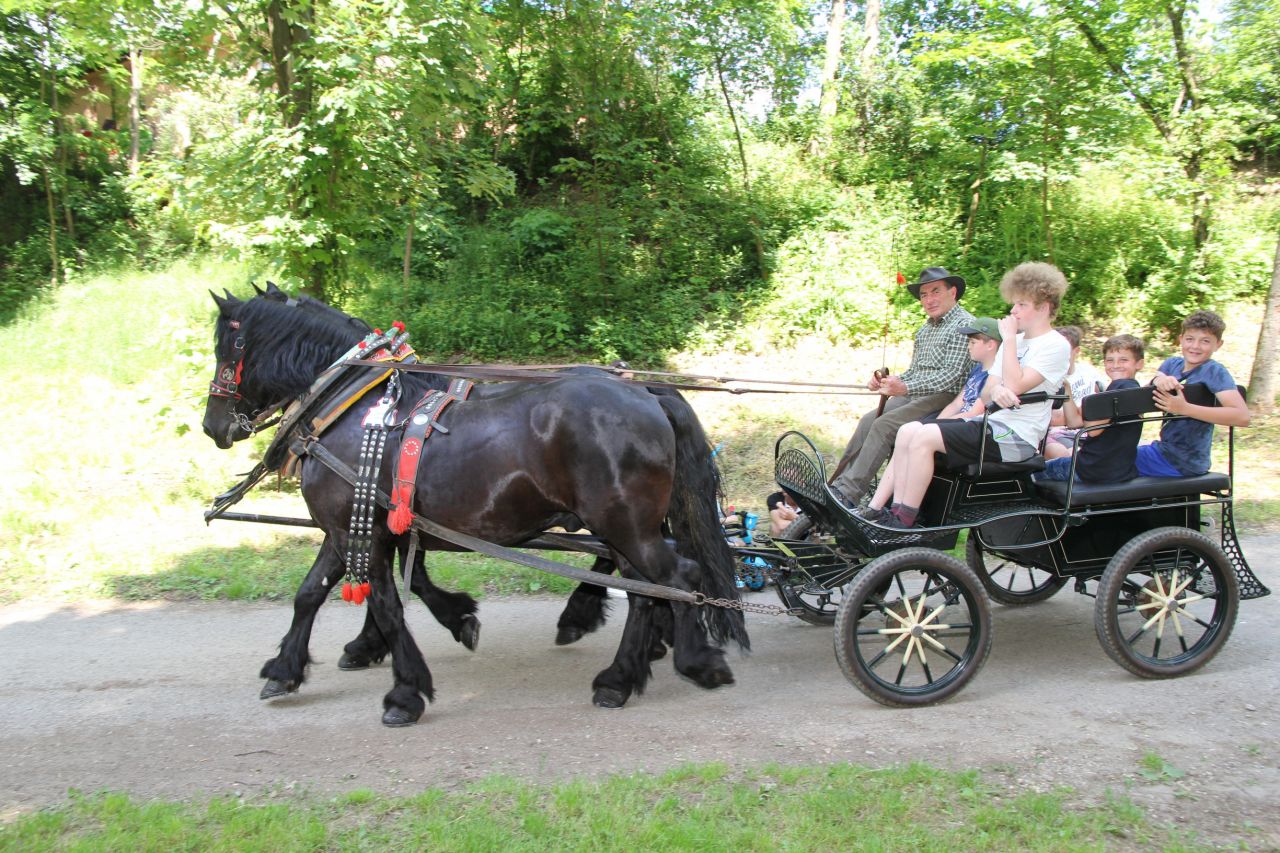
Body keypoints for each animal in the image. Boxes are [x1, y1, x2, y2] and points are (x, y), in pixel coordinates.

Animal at [201, 289, 747, 725]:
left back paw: (686, 662)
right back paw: (624, 670)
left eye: (226, 351)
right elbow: (312, 594)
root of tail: (646, 391)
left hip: (625, 525)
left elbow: (387, 606)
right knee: (646, 589)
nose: (213, 426)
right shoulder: (353, 527)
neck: (354, 407)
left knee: (676, 579)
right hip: (625, 528)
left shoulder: (363, 530)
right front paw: (286, 670)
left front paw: (405, 692)